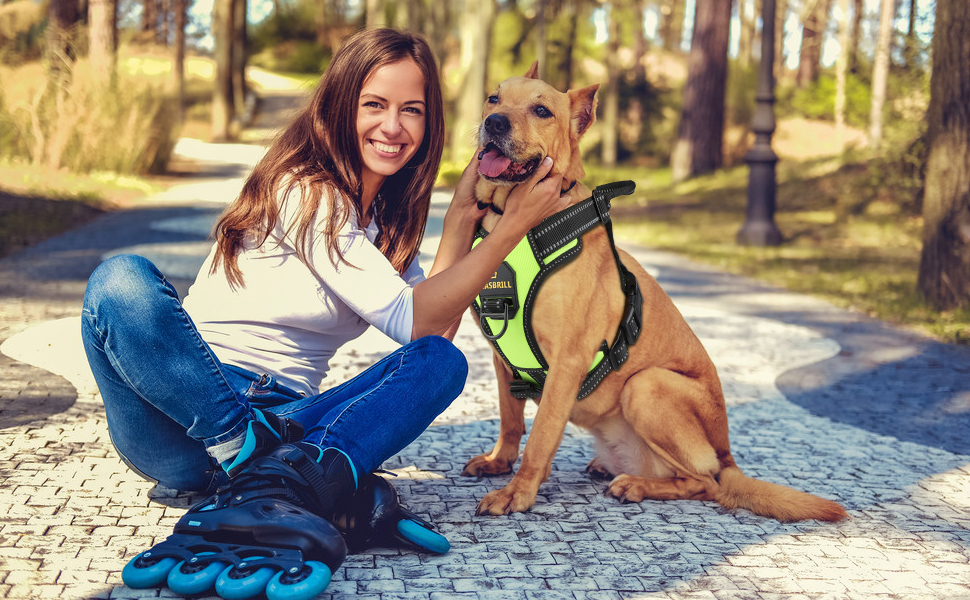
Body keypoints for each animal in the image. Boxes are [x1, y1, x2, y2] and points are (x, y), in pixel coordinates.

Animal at [462, 65, 848, 524]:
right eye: (493, 98)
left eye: (541, 111)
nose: (493, 123)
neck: (517, 226)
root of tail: (728, 456)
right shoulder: (501, 356)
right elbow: (510, 422)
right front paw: (498, 461)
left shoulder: (567, 362)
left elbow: (539, 438)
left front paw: (518, 492)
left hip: (646, 386)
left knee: (705, 483)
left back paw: (637, 485)